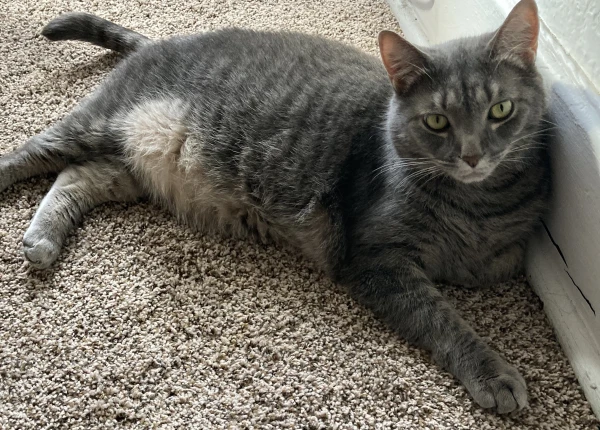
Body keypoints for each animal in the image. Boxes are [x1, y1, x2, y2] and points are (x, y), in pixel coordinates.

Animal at [0, 0, 552, 414]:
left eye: (500, 110)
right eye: (437, 121)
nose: (472, 154)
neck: (476, 204)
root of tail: (158, 41)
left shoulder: (499, 259)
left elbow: (485, 267)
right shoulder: (377, 260)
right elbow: (440, 317)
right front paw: (492, 370)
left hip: (132, 164)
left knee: (77, 177)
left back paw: (42, 240)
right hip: (96, 125)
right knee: (31, 153)